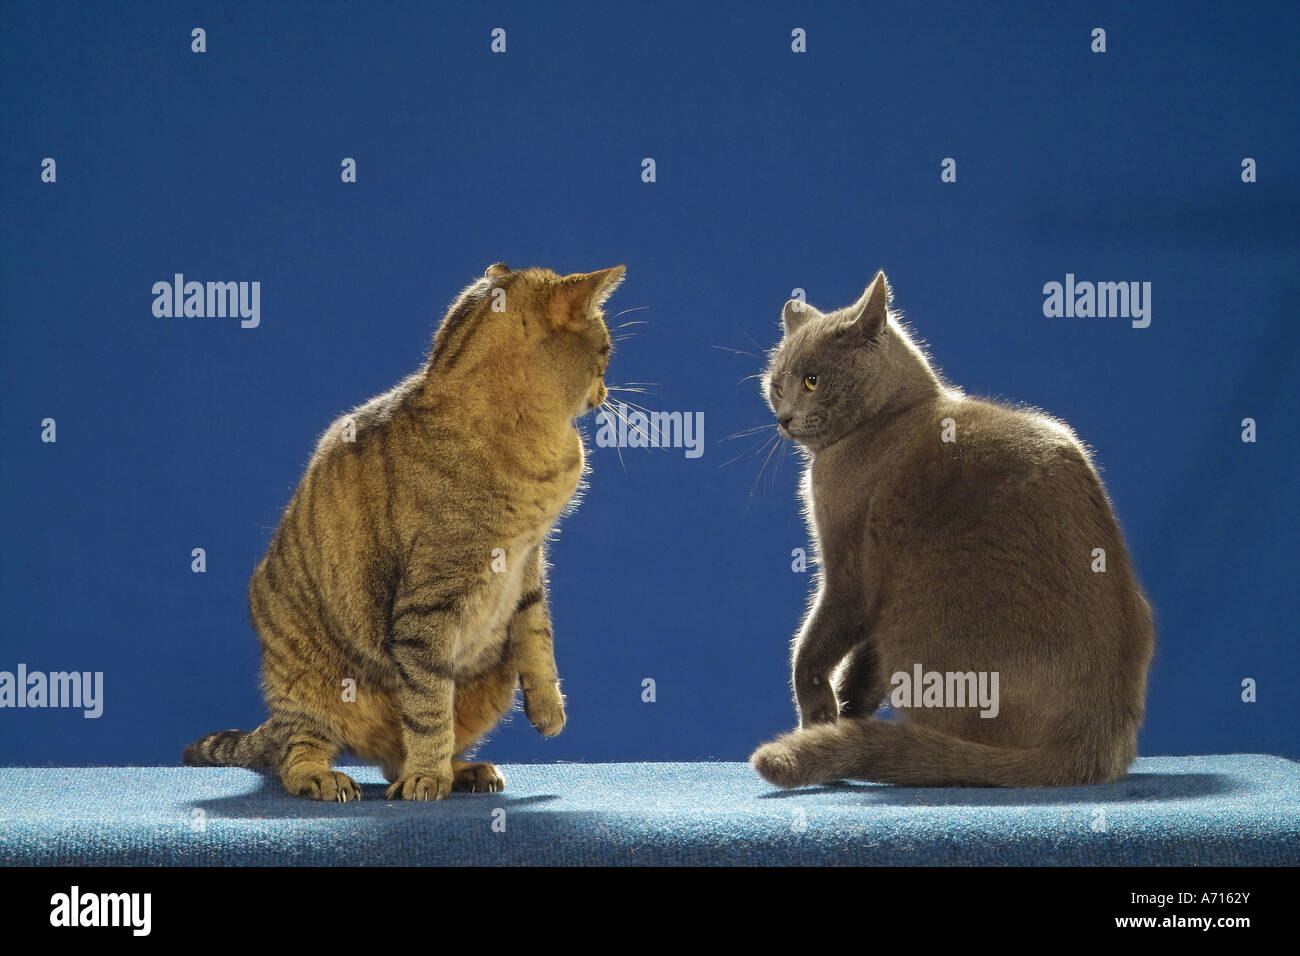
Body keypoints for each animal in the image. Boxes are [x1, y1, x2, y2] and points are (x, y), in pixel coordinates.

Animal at [185, 261, 626, 801]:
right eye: (607, 351)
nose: (606, 391)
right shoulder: (428, 608)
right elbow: (428, 708)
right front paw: (428, 778)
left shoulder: (529, 562)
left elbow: (539, 637)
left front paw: (548, 710)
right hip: (306, 682)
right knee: (299, 753)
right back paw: (330, 776)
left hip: (492, 678)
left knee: (396, 756)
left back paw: (465, 770)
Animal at [748, 273, 1154, 790]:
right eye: (776, 386)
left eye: (812, 380)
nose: (783, 417)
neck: (889, 418)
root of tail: (1098, 740)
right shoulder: (878, 599)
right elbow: (862, 667)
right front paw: (840, 717)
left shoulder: (848, 571)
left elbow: (811, 646)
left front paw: (819, 714)